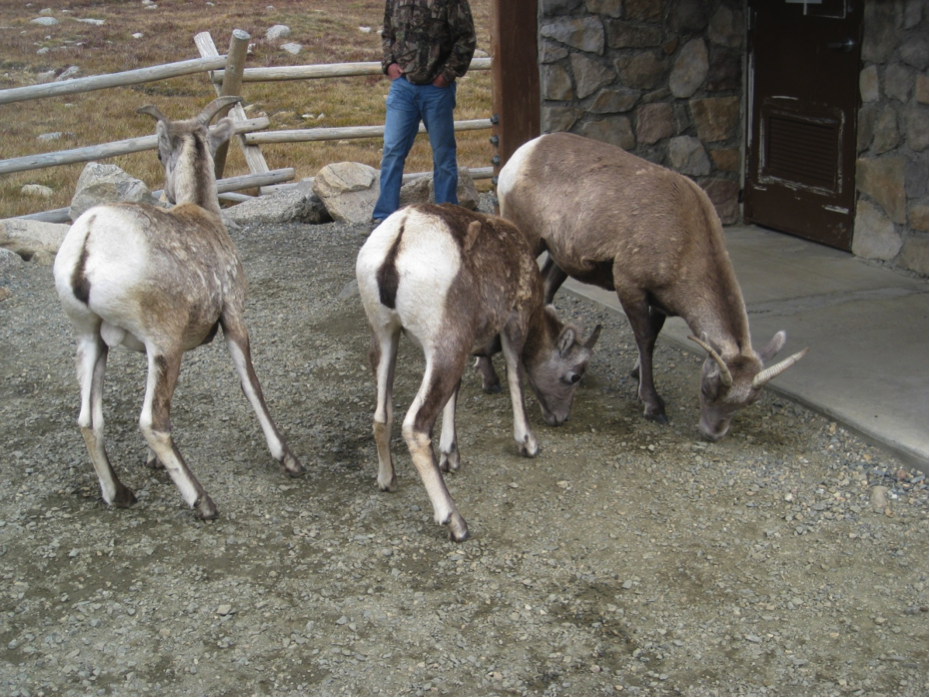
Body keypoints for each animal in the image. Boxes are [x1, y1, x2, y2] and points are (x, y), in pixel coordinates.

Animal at [53, 96, 304, 520]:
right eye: (158, 152)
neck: (205, 214)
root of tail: (88, 242)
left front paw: (153, 464)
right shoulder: (232, 315)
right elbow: (251, 385)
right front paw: (289, 461)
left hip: (90, 338)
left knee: (89, 419)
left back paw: (120, 494)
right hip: (163, 343)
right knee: (152, 422)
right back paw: (202, 502)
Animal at [356, 204, 600, 541]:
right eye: (575, 375)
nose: (560, 418)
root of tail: (400, 238)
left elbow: (455, 392)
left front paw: (451, 456)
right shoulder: (514, 320)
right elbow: (514, 373)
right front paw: (528, 444)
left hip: (384, 334)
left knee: (382, 415)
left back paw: (387, 480)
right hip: (443, 348)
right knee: (415, 427)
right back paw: (456, 522)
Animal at [487, 132, 807, 441]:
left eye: (749, 401)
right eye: (707, 389)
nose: (712, 434)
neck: (685, 241)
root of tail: (519, 157)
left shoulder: (661, 301)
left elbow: (652, 336)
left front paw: (637, 376)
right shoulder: (630, 286)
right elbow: (644, 338)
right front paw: (653, 405)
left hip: (560, 257)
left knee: (546, 291)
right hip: (527, 237)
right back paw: (490, 380)